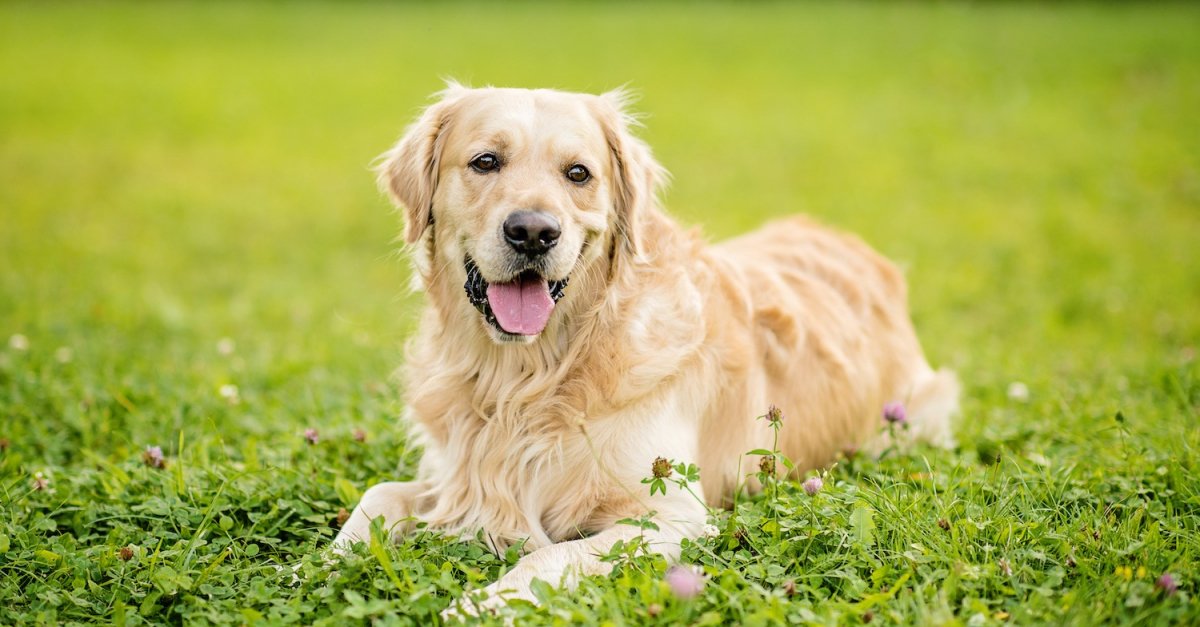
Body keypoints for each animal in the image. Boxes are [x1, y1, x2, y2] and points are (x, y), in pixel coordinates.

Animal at [331, 81, 955, 610]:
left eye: (578, 173)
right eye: (486, 161)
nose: (533, 232)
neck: (527, 376)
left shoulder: (673, 515)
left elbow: (548, 558)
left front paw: (478, 606)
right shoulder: (457, 477)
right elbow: (378, 494)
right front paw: (328, 564)